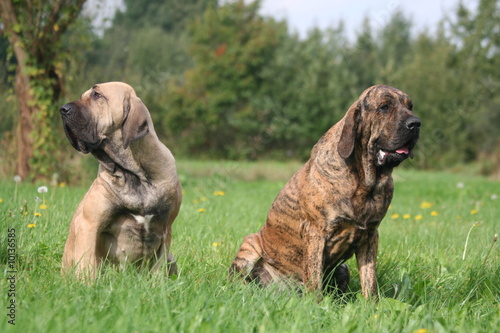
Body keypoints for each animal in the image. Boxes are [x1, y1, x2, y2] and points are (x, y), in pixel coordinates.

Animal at [232, 84, 420, 296]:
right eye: (384, 107)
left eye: (410, 106)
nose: (416, 123)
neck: (364, 179)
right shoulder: (315, 233)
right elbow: (314, 279)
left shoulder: (370, 235)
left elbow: (369, 281)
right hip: (250, 246)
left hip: (343, 268)